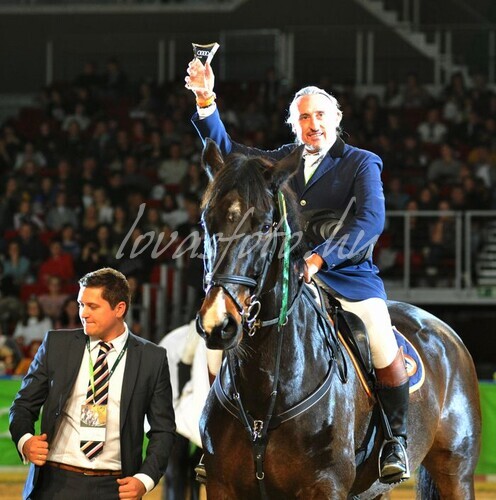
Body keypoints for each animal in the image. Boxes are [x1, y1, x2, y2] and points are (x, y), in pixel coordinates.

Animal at [195, 138, 481, 499]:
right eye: (207, 222)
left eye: (264, 227)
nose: (218, 322)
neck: (266, 385)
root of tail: (445, 332)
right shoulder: (222, 485)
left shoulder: (325, 484)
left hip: (456, 472)